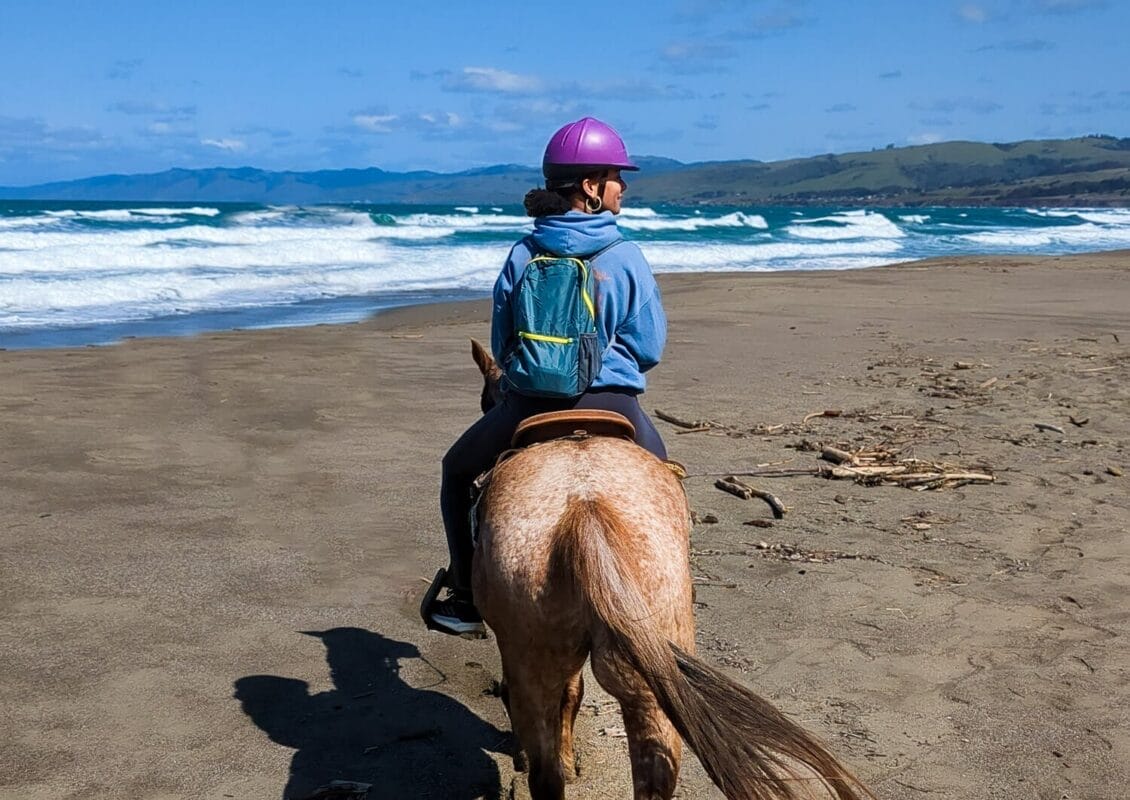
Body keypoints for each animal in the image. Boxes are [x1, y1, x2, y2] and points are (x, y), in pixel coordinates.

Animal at [463, 338, 867, 800]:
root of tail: (586, 509)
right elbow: (575, 695)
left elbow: (567, 697)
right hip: (642, 672)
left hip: (535, 663)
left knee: (546, 773)